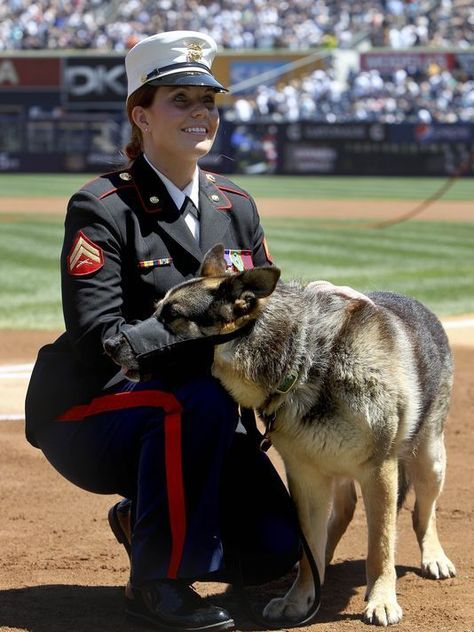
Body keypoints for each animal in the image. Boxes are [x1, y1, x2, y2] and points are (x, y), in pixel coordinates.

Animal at [154, 244, 454, 624]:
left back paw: (434, 557)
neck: (306, 360)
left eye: (172, 316)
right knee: (342, 514)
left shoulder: (379, 471)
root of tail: (421, 305)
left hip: (430, 459)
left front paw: (382, 601)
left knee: (423, 512)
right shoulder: (307, 477)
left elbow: (380, 546)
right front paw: (299, 600)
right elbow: (309, 545)